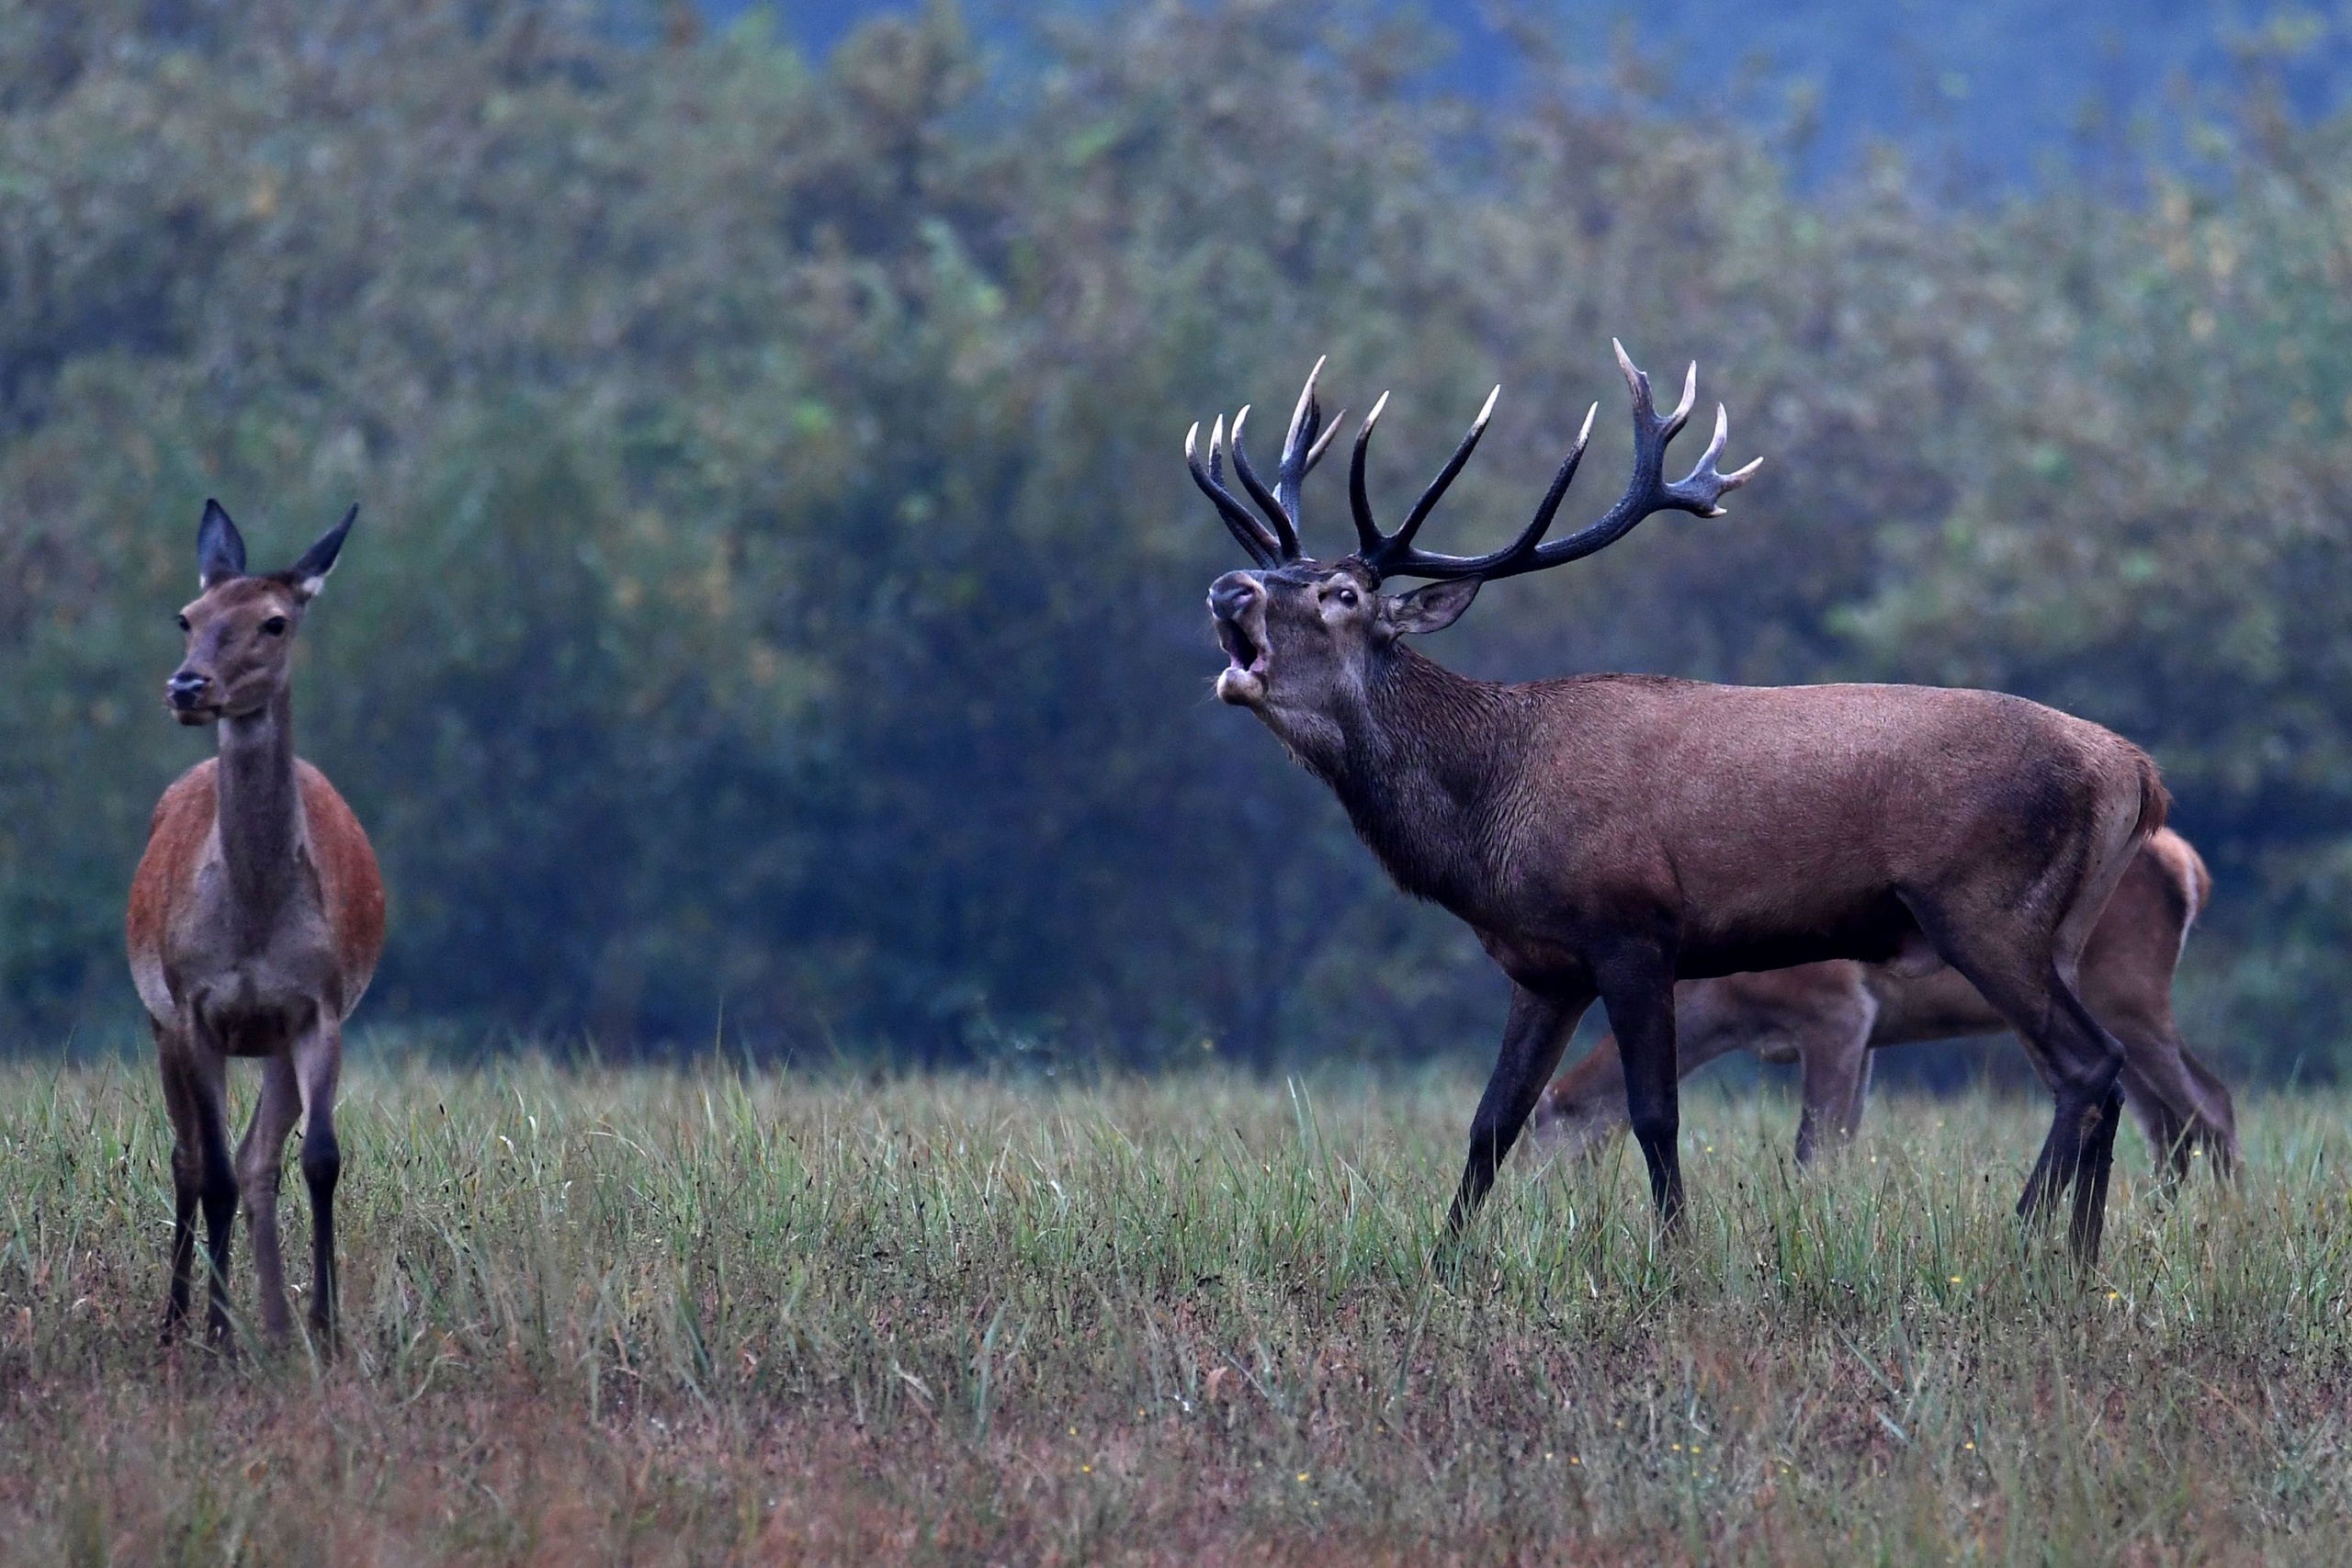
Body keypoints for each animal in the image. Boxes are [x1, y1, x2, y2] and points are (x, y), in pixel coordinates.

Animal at [125, 505, 383, 1354]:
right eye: (188, 615)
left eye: (275, 620)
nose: (187, 685)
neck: (254, 928)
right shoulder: (194, 1006)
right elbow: (211, 1174)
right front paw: (216, 1334)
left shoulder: (318, 1007)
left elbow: (319, 1160)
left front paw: (324, 1329)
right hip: (159, 1022)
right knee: (190, 1155)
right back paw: (178, 1322)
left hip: (269, 1038)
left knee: (259, 1155)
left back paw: (272, 1322)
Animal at [1194, 343, 2164, 1259]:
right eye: (1272, 571)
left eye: (1342, 594)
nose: (1228, 587)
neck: (1487, 815)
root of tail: (2135, 770)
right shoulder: (1542, 966)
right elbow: (1491, 1123)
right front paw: (1444, 1264)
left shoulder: (1633, 929)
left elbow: (1655, 1115)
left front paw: (1676, 1258)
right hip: (2053, 930)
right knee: (2102, 1076)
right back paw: (2076, 1258)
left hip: (1986, 909)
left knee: (2088, 1065)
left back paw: (2025, 1239)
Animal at [1523, 831, 2239, 1175]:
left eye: (1539, 1131)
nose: (1532, 1206)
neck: (1724, 1006)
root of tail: (2191, 868)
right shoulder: (1864, 1036)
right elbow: (1844, 1142)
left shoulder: (1836, 1009)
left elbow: (1814, 1149)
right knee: (2166, 1124)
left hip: (2130, 989)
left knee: (2210, 1103)